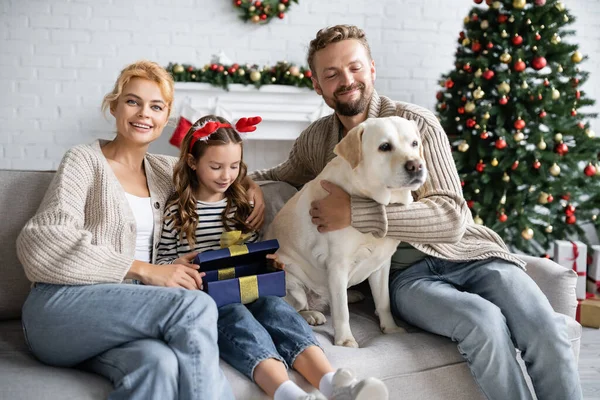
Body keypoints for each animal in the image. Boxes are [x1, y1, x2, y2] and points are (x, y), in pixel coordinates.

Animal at [266, 115, 426, 346]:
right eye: (385, 147)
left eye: (414, 143)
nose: (416, 165)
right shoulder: (337, 264)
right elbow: (342, 312)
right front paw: (345, 340)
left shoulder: (381, 264)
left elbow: (383, 301)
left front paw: (391, 328)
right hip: (292, 281)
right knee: (296, 307)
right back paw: (312, 314)